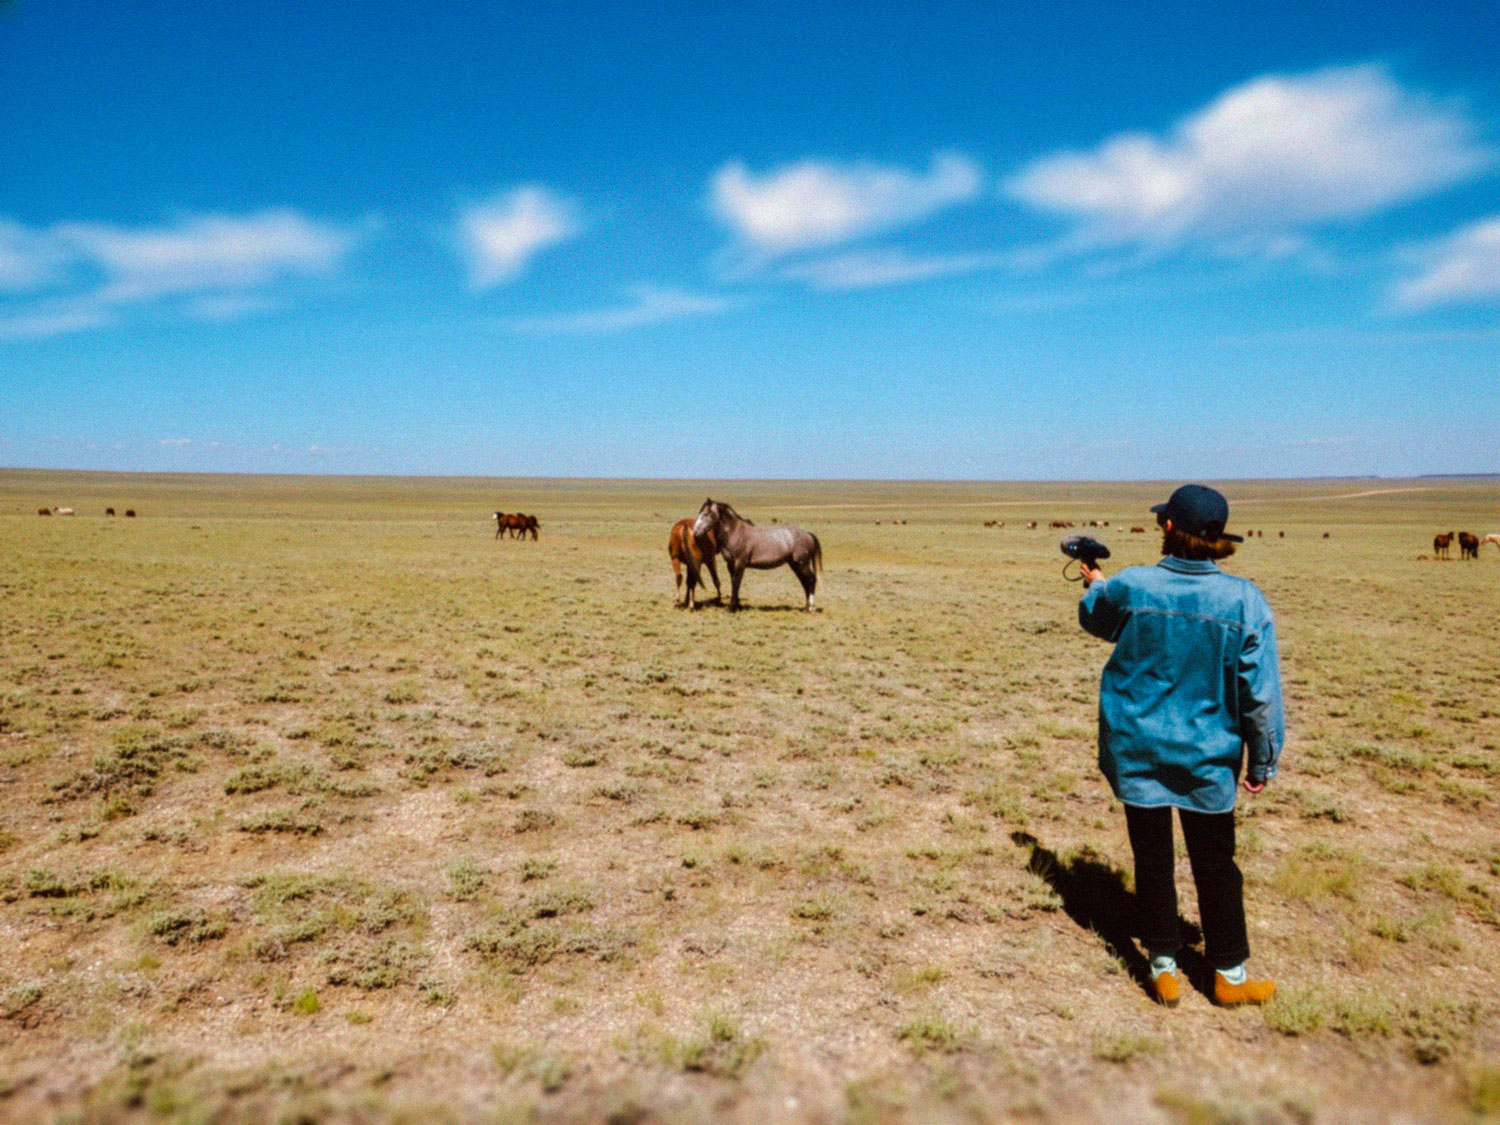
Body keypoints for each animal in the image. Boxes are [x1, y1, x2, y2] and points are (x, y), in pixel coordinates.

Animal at [692, 498, 822, 612]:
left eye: (706, 514)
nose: (695, 532)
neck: (735, 532)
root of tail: (808, 534)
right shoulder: (730, 564)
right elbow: (733, 582)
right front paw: (737, 605)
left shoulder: (740, 563)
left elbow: (736, 582)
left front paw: (732, 608)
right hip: (795, 564)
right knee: (805, 582)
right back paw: (806, 608)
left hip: (802, 564)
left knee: (811, 579)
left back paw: (811, 608)